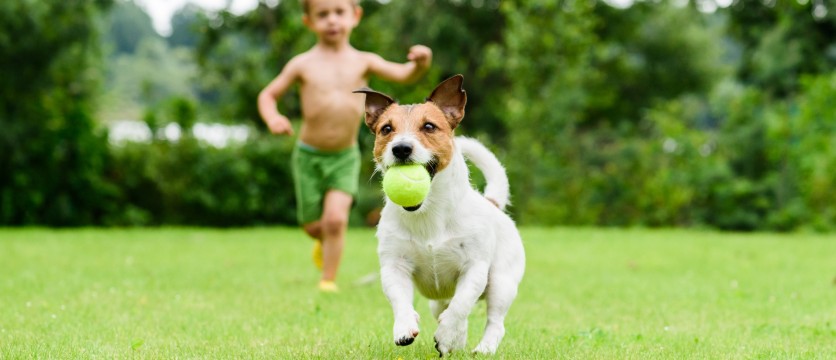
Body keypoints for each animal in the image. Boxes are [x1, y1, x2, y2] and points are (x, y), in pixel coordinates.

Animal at [352, 74, 524, 356]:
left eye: (429, 126)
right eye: (386, 129)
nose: (401, 148)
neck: (428, 213)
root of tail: (492, 203)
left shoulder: (474, 268)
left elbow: (461, 304)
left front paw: (446, 334)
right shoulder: (394, 265)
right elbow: (400, 299)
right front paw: (404, 327)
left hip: (502, 282)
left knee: (493, 321)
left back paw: (482, 347)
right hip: (440, 298)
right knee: (447, 308)